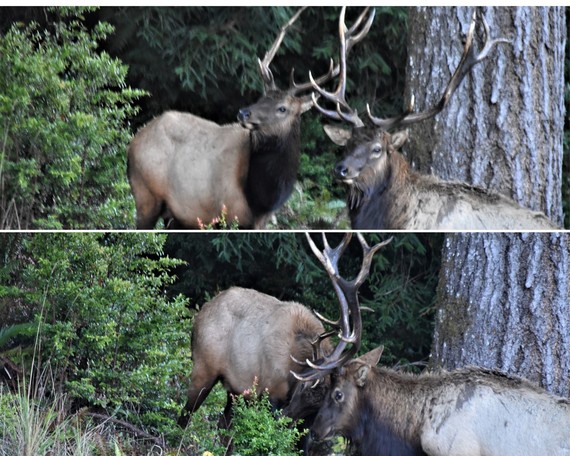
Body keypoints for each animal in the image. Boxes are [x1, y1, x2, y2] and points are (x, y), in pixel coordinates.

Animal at [127, 9, 372, 232]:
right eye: (261, 97)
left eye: (282, 108)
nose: (244, 113)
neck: (262, 198)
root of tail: (134, 142)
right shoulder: (226, 214)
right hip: (146, 195)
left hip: (174, 215)